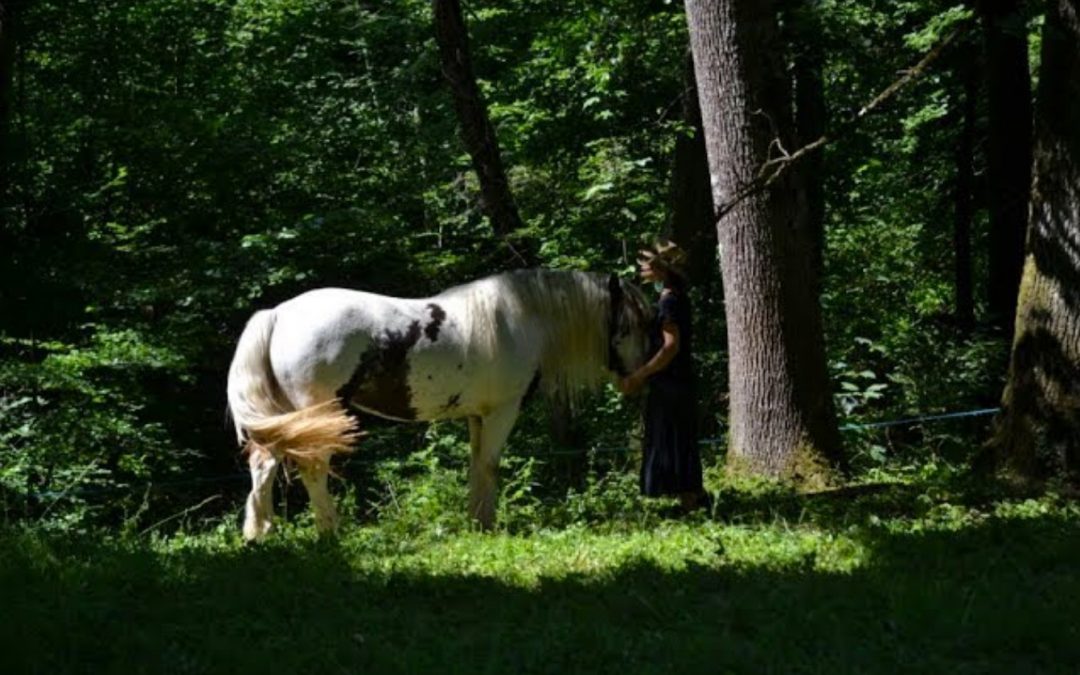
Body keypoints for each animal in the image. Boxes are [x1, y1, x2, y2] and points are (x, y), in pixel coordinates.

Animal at [226, 269, 652, 540]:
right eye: (629, 324)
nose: (640, 380)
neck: (518, 318)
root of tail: (278, 314)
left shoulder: (478, 416)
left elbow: (476, 465)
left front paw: (476, 521)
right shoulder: (502, 411)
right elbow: (489, 465)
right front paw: (486, 525)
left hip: (288, 419)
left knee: (264, 465)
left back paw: (260, 534)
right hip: (319, 417)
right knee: (313, 470)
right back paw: (330, 532)